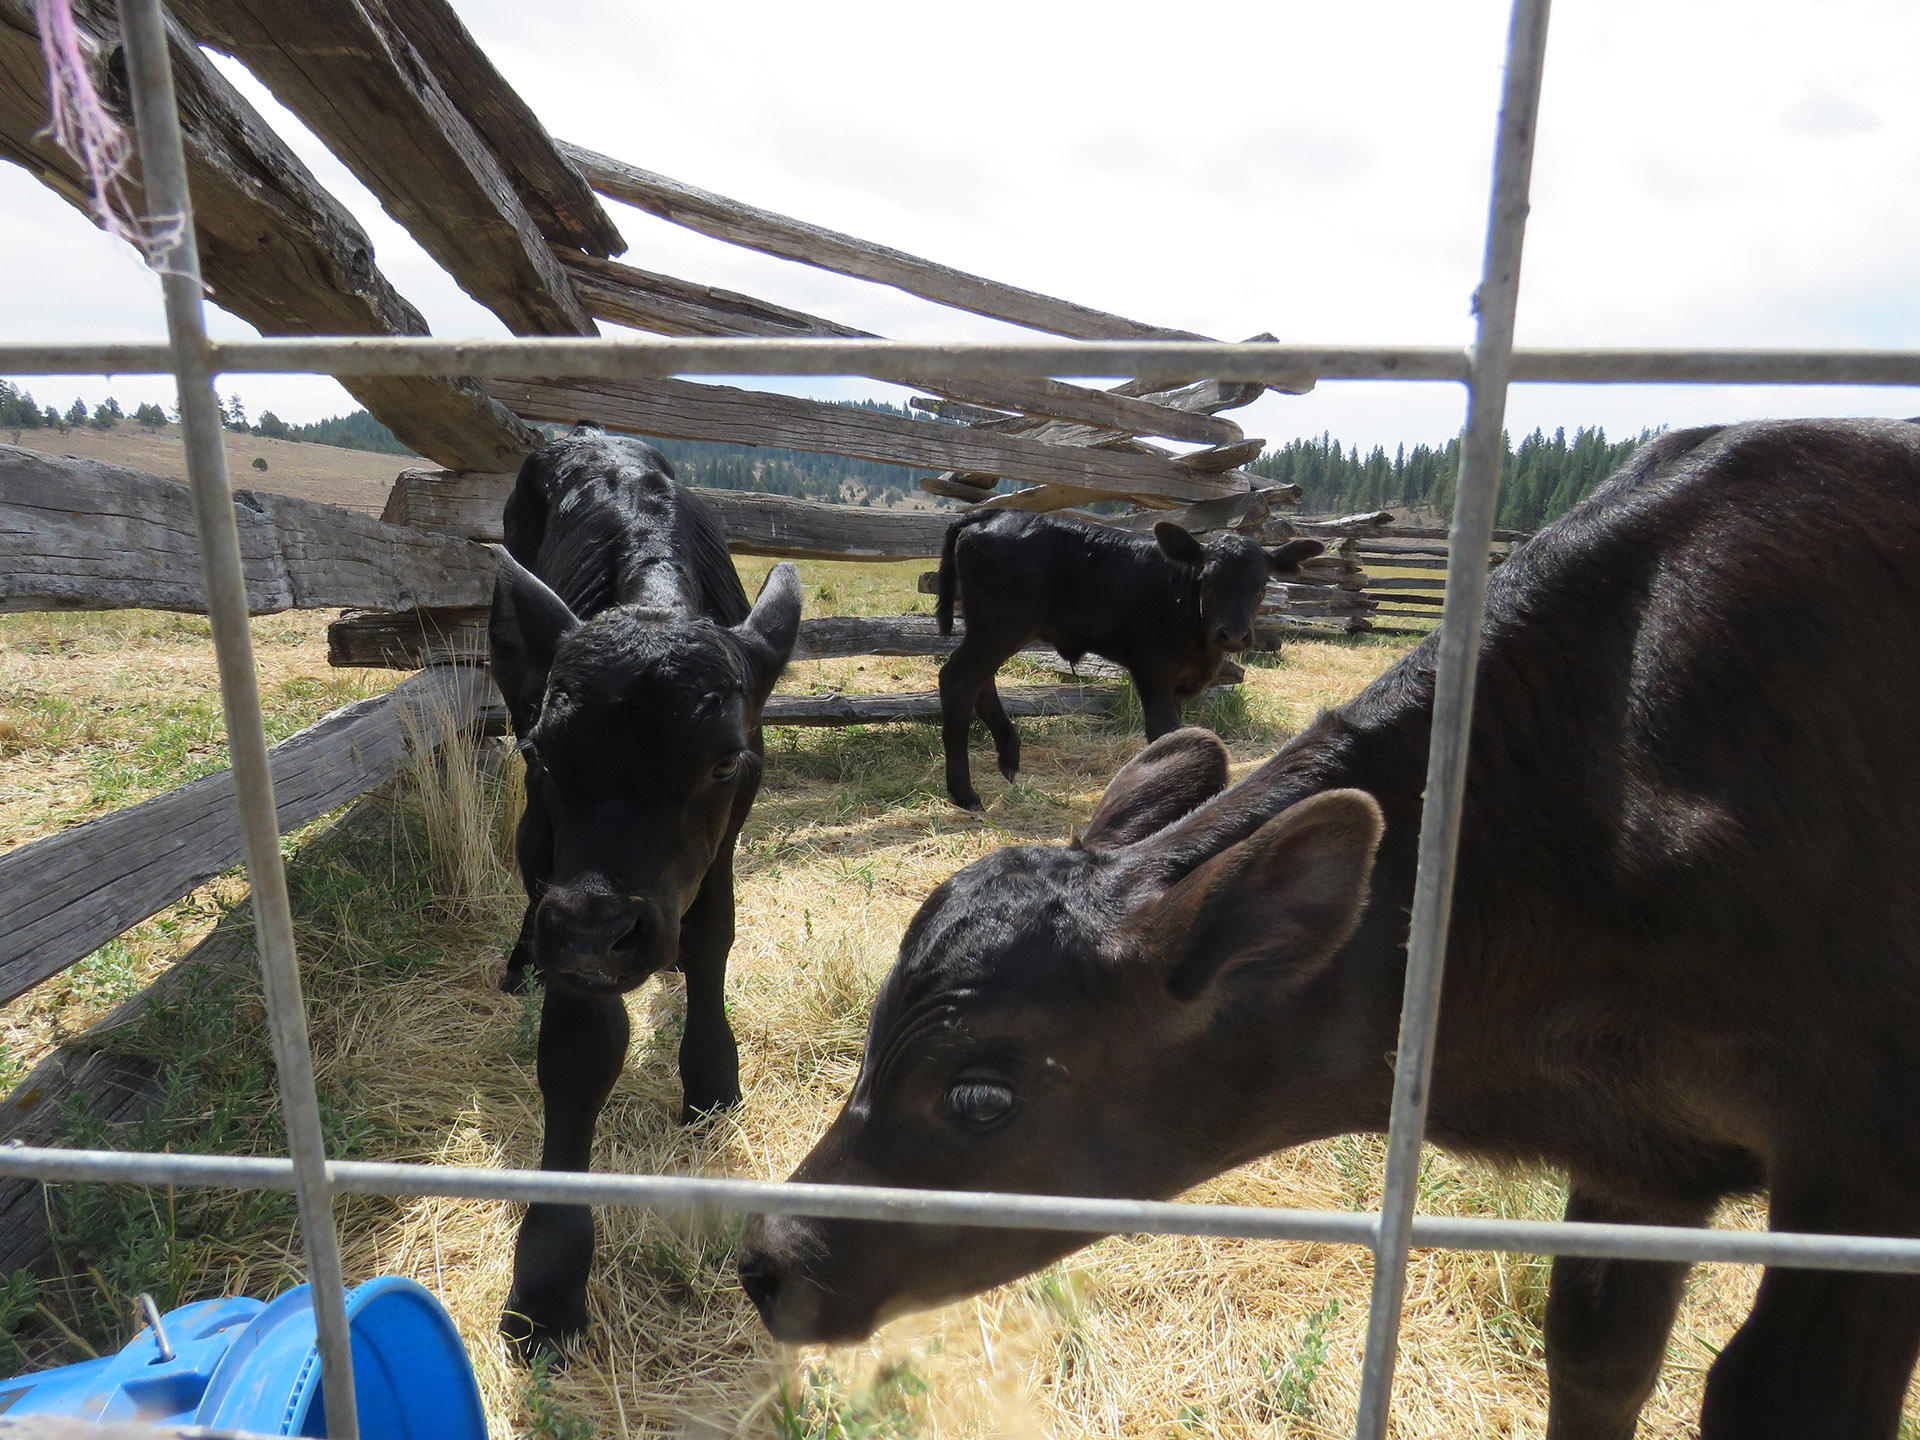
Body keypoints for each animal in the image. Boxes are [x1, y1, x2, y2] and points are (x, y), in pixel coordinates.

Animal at [491, 422, 798, 1359]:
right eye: (544, 752)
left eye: (725, 760)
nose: (602, 933)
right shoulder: (553, 855)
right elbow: (581, 1044)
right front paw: (549, 1279)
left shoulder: (729, 832)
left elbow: (712, 936)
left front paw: (710, 1077)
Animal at [936, 514, 1328, 814]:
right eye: (1207, 580)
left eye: (1262, 583)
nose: (1233, 634)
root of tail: (988, 514)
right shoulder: (1153, 669)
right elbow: (1164, 731)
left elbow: (1181, 734)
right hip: (999, 625)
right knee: (958, 679)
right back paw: (964, 793)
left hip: (995, 629)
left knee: (981, 681)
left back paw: (1009, 756)